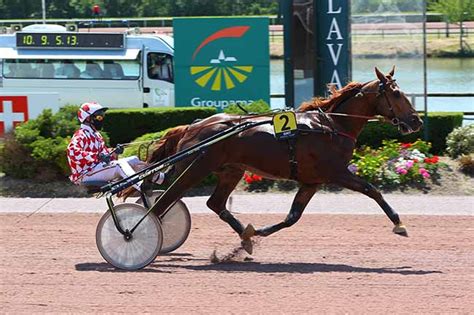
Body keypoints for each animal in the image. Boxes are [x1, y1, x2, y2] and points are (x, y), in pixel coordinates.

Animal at [142, 66, 422, 254]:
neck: (331, 126)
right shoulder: (336, 172)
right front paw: (399, 224)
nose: (416, 120)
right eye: (397, 94)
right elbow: (372, 190)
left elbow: (292, 217)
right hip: (194, 168)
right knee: (162, 201)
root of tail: (194, 125)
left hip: (230, 170)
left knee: (213, 202)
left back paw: (244, 237)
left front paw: (255, 233)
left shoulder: (312, 181)